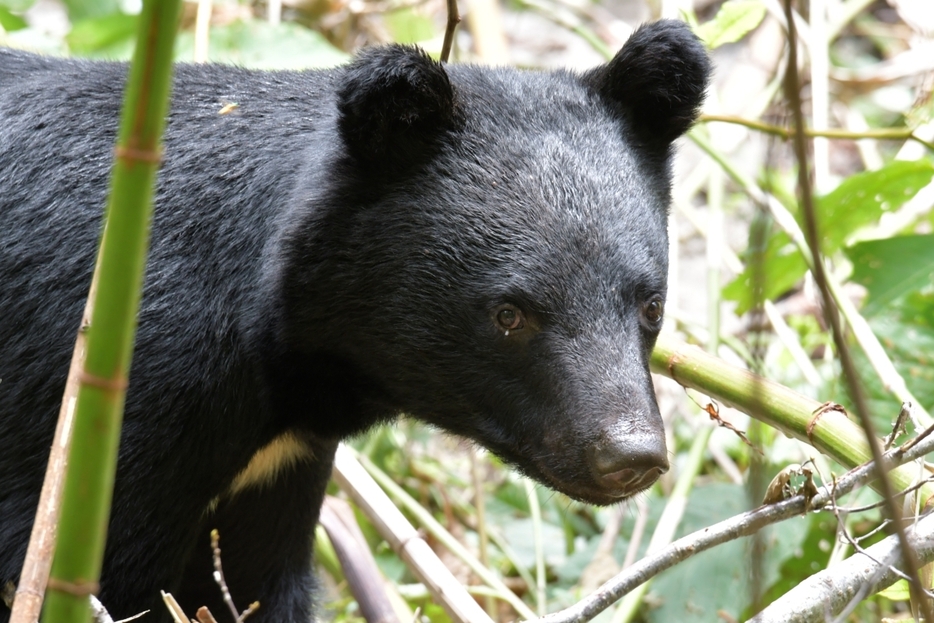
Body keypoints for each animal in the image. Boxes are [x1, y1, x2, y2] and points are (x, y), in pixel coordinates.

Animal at [0, 19, 712, 623]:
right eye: (509, 313)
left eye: (651, 305)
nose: (631, 456)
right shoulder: (98, 419)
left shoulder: (277, 471)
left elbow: (255, 584)